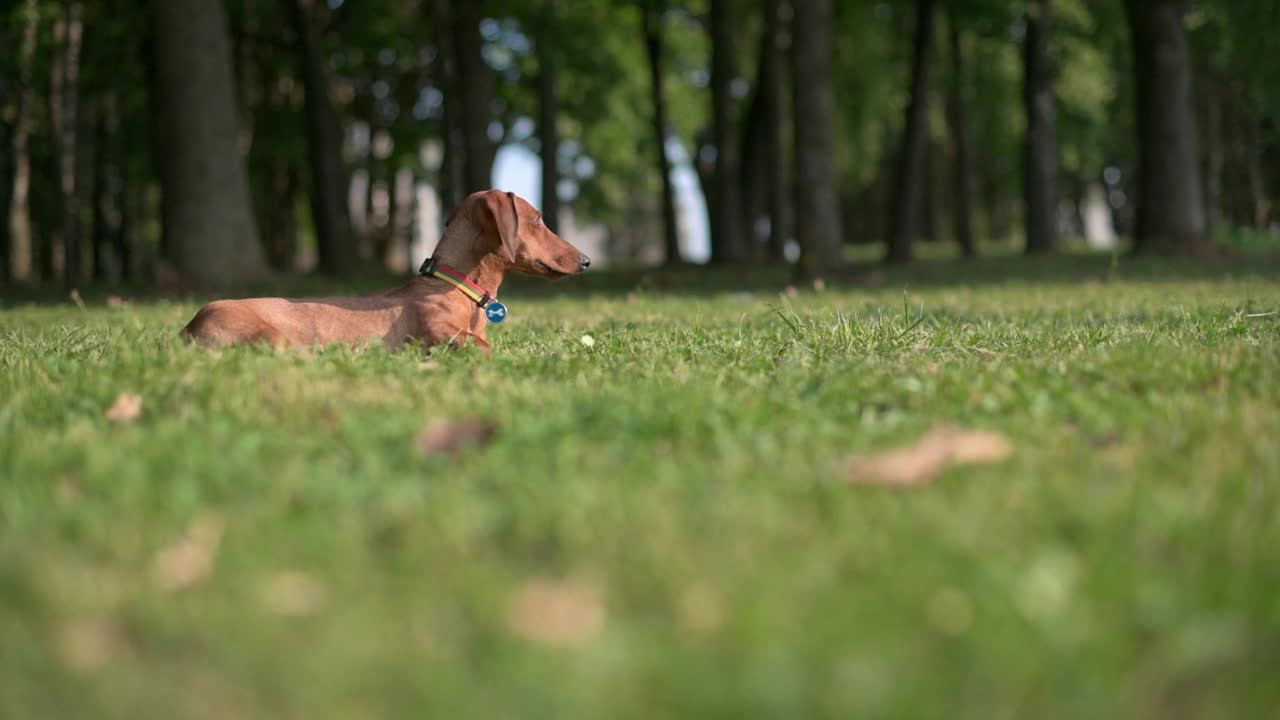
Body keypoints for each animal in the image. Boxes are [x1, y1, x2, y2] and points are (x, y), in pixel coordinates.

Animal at [181, 188, 588, 351]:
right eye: (538, 220)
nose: (586, 260)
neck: (456, 288)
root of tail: (190, 325)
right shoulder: (439, 334)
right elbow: (483, 347)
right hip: (273, 336)